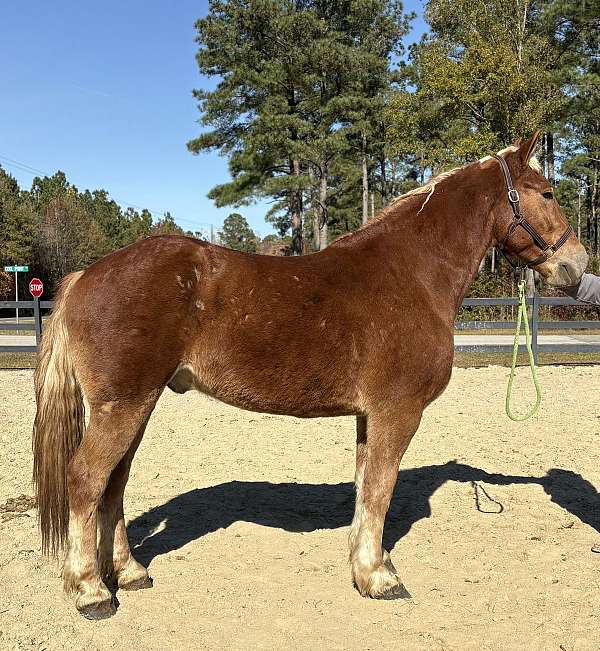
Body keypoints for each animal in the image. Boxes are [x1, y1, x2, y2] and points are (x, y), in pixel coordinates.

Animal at [32, 132, 587, 619]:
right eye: (547, 192)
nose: (577, 264)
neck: (413, 274)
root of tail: (85, 275)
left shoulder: (369, 417)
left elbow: (365, 487)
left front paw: (364, 567)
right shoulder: (398, 412)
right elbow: (381, 489)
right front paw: (379, 578)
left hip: (137, 404)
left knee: (114, 484)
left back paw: (129, 572)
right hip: (123, 405)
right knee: (86, 479)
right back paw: (91, 591)